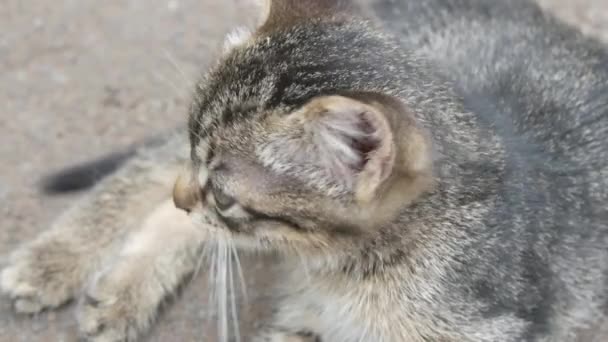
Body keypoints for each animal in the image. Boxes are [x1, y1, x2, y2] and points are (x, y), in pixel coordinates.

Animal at [1, 0, 608, 340]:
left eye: (224, 195)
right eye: (200, 158)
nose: (185, 193)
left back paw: (120, 288)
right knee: (144, 168)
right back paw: (53, 264)